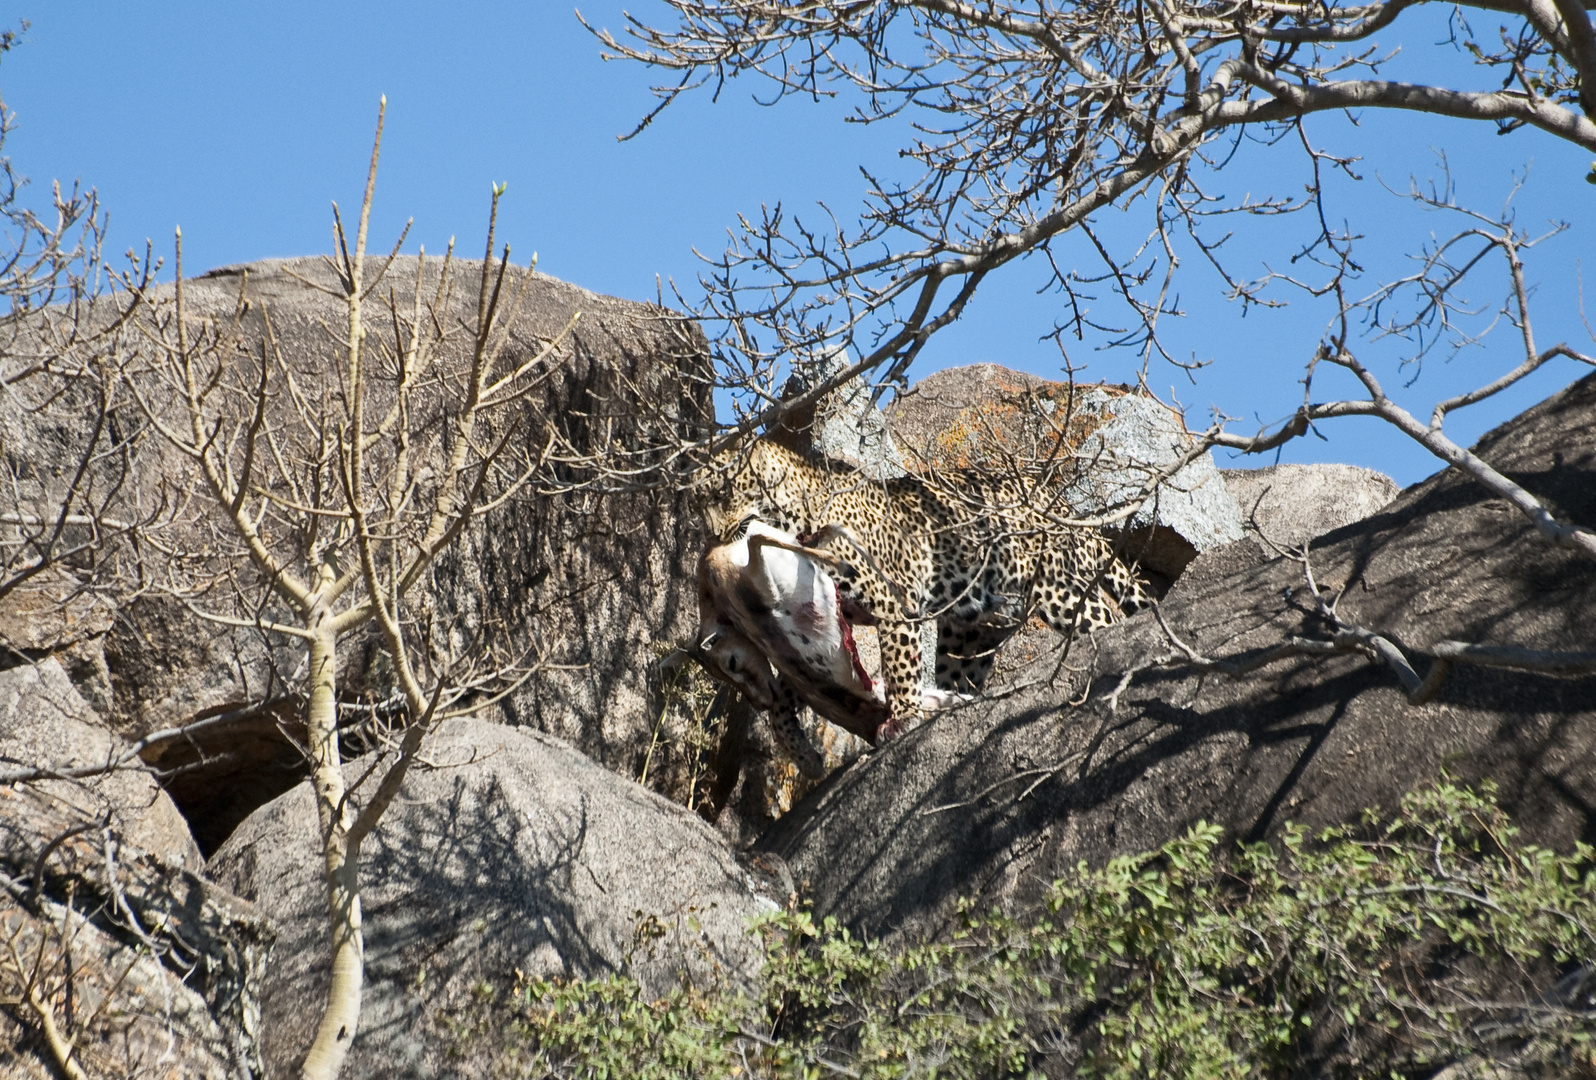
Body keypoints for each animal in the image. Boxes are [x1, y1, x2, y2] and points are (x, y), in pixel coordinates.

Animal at [695, 433, 1149, 737]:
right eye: (702, 501)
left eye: (722, 492)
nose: (713, 537)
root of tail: (1055, 501)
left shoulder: (893, 603)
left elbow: (898, 663)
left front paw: (904, 715)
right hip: (968, 633)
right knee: (963, 669)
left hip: (1056, 588)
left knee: (1108, 621)